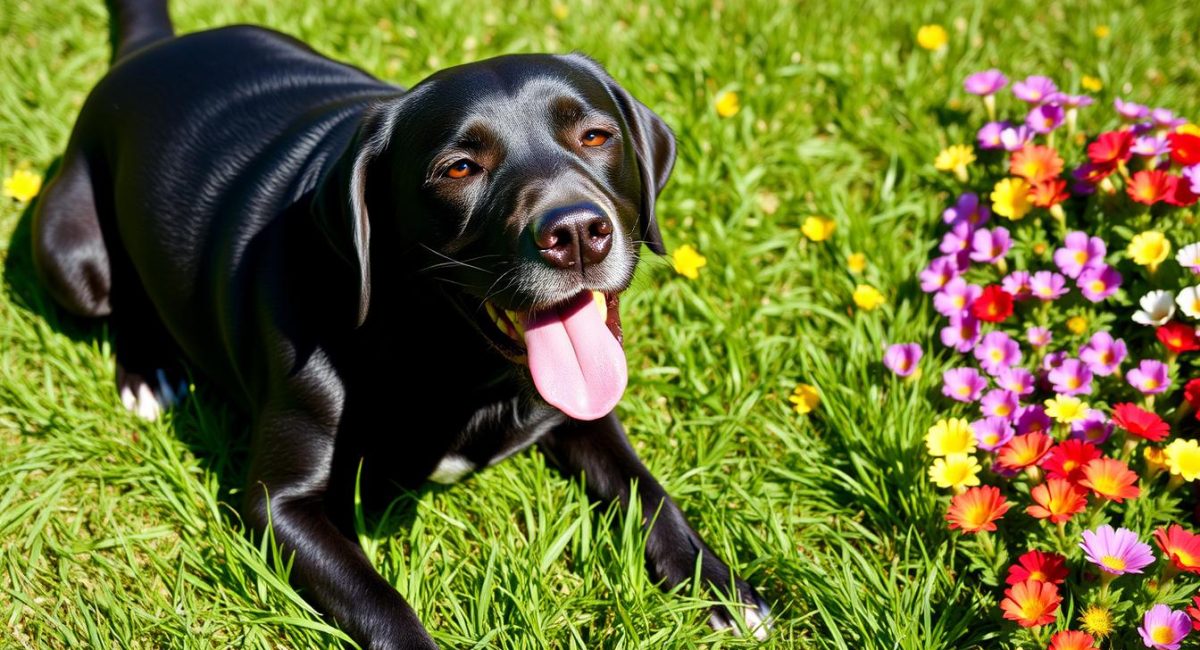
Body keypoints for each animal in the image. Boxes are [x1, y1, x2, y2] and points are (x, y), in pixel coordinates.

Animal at [32, 0, 768, 647]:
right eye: (459, 168)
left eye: (594, 136)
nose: (578, 235)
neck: (460, 363)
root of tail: (149, 49)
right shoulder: (280, 505)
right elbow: (383, 604)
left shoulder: (583, 416)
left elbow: (650, 494)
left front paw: (723, 591)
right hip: (69, 253)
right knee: (117, 295)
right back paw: (147, 370)